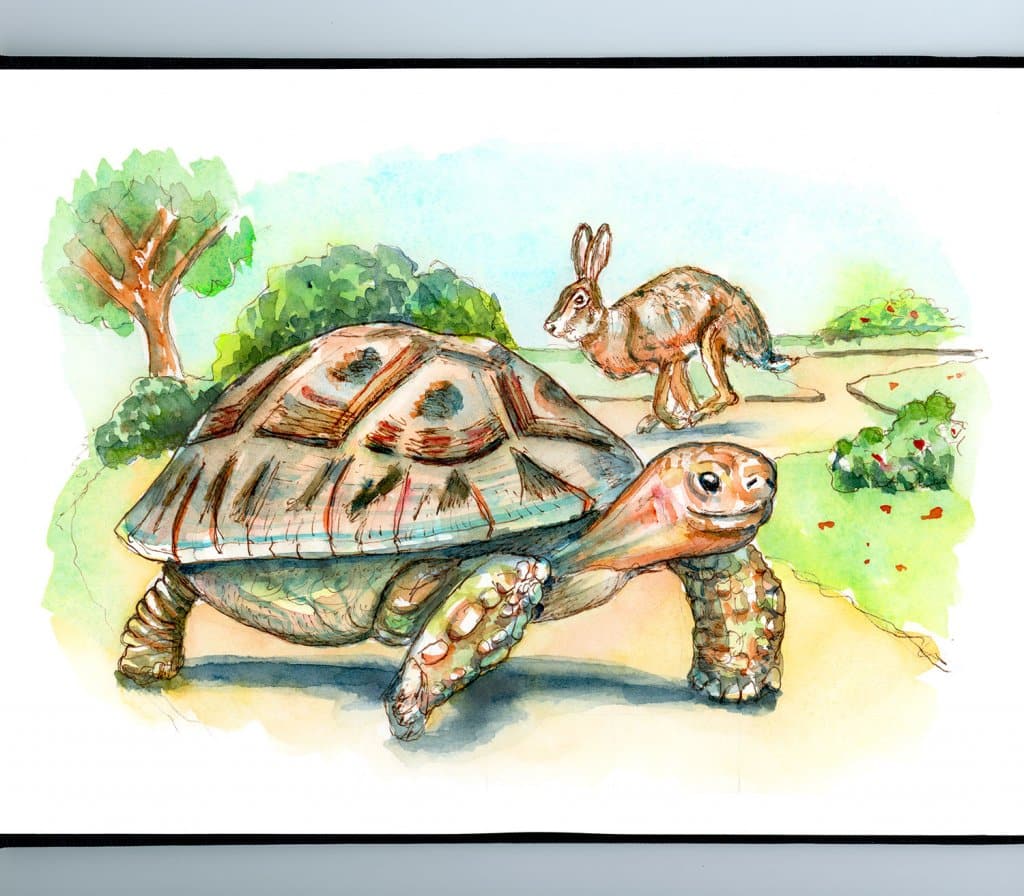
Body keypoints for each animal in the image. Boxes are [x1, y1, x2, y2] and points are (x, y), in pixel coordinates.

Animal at [544, 223, 798, 433]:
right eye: (562, 294)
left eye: (579, 300)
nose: (549, 326)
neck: (612, 327)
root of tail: (761, 345)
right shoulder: (678, 361)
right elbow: (681, 394)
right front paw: (674, 420)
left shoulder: (667, 358)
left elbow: (659, 400)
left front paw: (678, 422)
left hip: (712, 338)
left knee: (728, 394)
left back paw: (697, 415)